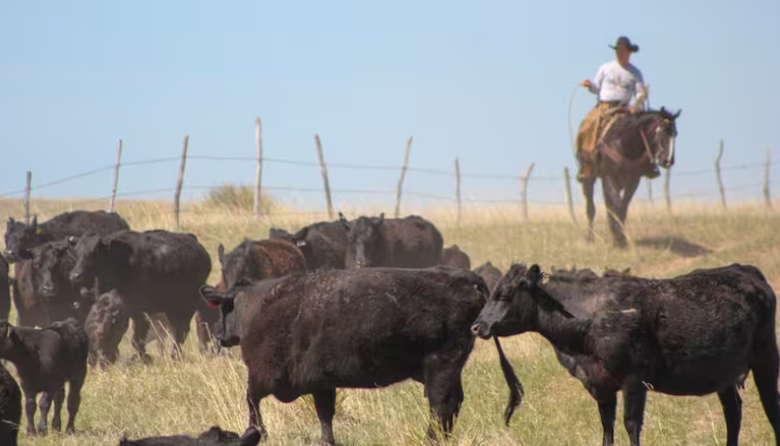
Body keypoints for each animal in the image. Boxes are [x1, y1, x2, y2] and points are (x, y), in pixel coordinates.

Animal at [68, 229, 211, 361]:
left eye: (94, 252)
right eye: (77, 252)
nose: (75, 275)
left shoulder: (139, 312)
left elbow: (137, 339)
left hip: (185, 305)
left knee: (181, 330)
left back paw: (174, 356)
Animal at [199, 265, 522, 446]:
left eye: (224, 308)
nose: (218, 333)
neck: (259, 307)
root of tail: (468, 277)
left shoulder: (261, 376)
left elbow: (251, 403)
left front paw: (259, 433)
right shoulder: (322, 384)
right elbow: (325, 416)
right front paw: (327, 442)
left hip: (441, 366)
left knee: (441, 406)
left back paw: (430, 440)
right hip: (448, 370)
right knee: (450, 407)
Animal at [471, 263, 780, 446]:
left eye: (505, 294)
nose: (478, 326)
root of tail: (746, 270)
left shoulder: (634, 380)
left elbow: (631, 425)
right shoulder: (601, 385)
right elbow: (607, 427)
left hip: (766, 359)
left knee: (771, 407)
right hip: (724, 375)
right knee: (733, 411)